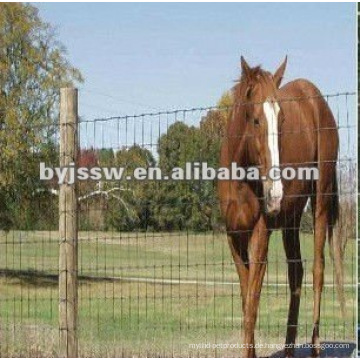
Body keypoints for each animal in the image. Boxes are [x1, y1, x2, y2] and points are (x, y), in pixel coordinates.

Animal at [218, 57, 342, 358]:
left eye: (282, 119)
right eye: (255, 119)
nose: (274, 194)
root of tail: (316, 98)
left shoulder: (260, 235)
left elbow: (251, 308)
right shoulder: (234, 238)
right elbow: (246, 302)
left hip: (320, 201)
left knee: (318, 271)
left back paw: (315, 347)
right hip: (291, 219)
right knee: (296, 273)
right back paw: (288, 349)